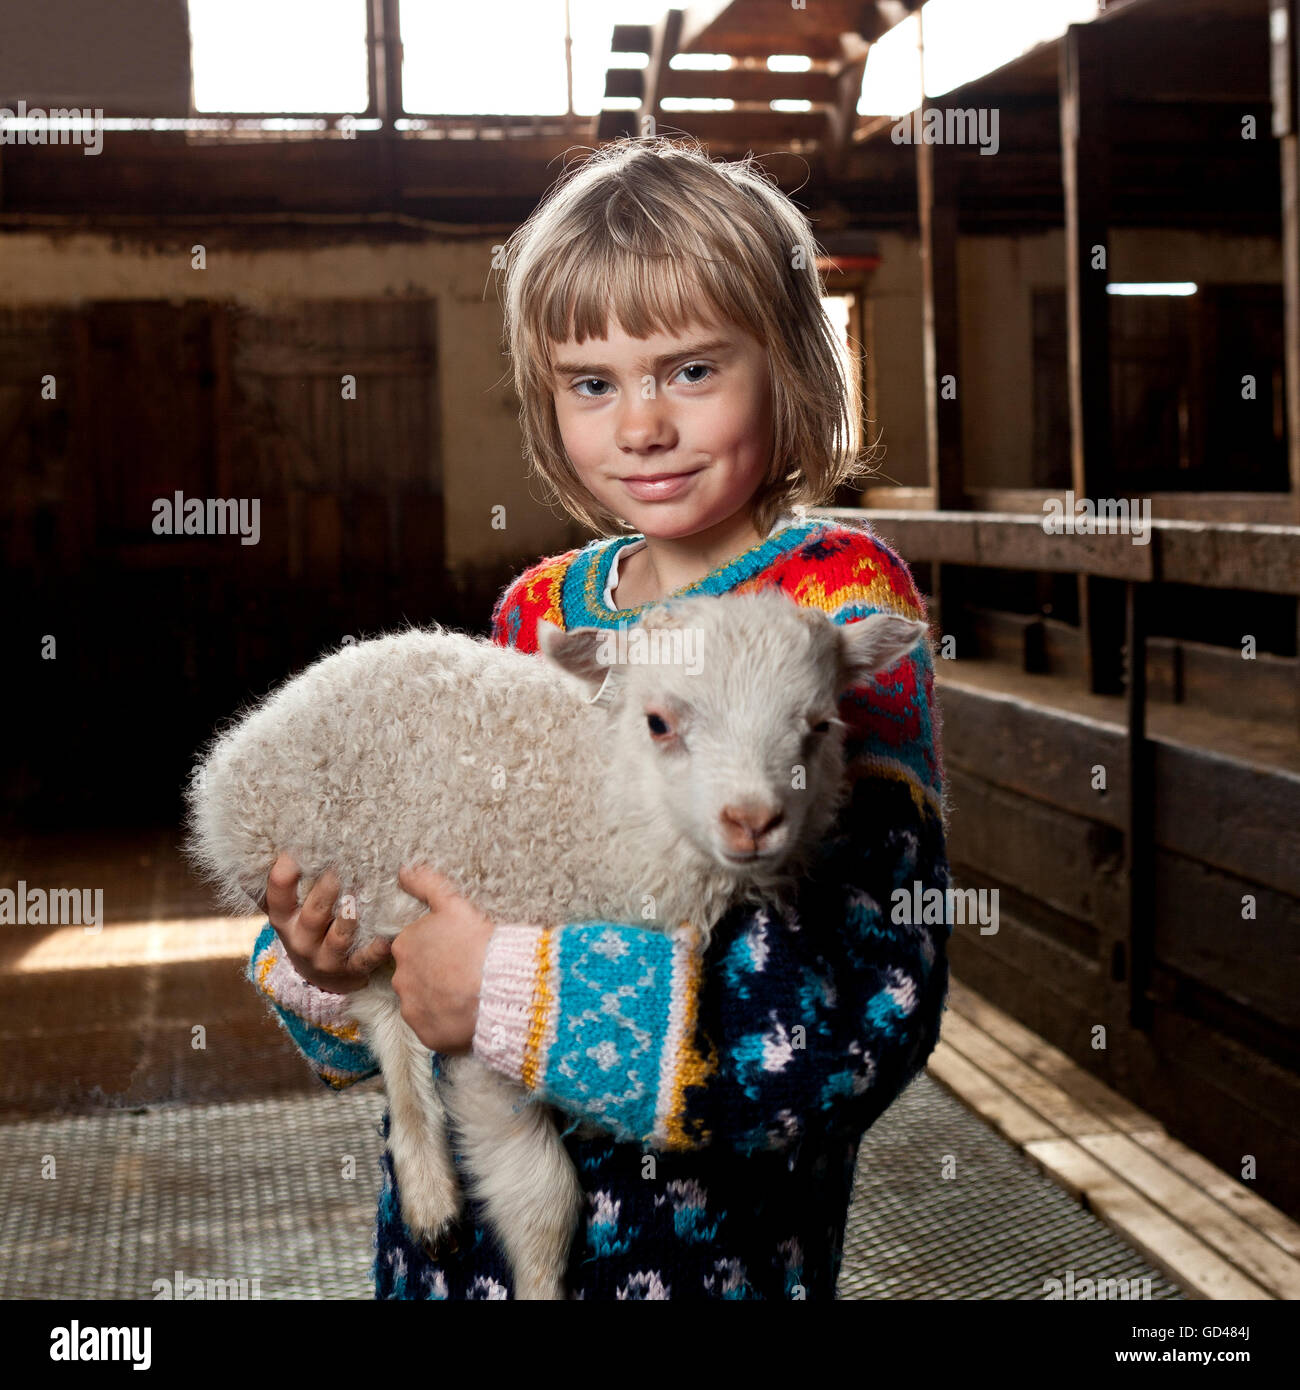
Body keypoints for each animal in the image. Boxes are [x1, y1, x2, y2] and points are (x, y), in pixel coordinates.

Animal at [184, 586, 927, 1300]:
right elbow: (542, 1197)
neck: (607, 810)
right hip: (337, 875)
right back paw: (430, 1188)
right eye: (659, 723)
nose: (752, 821)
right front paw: (542, 1282)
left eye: (819, 727)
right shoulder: (476, 1019)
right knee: (384, 1013)